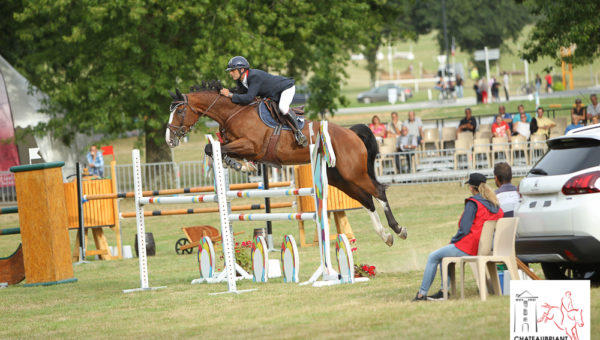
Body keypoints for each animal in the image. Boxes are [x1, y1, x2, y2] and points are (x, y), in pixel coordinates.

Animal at [166, 82, 406, 247]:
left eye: (180, 111)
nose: (169, 139)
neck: (232, 112)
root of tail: (351, 133)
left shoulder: (251, 145)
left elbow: (214, 148)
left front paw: (241, 165)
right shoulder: (238, 145)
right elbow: (215, 148)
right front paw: (241, 165)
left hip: (353, 173)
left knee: (378, 191)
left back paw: (398, 229)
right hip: (340, 178)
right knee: (367, 200)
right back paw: (385, 236)